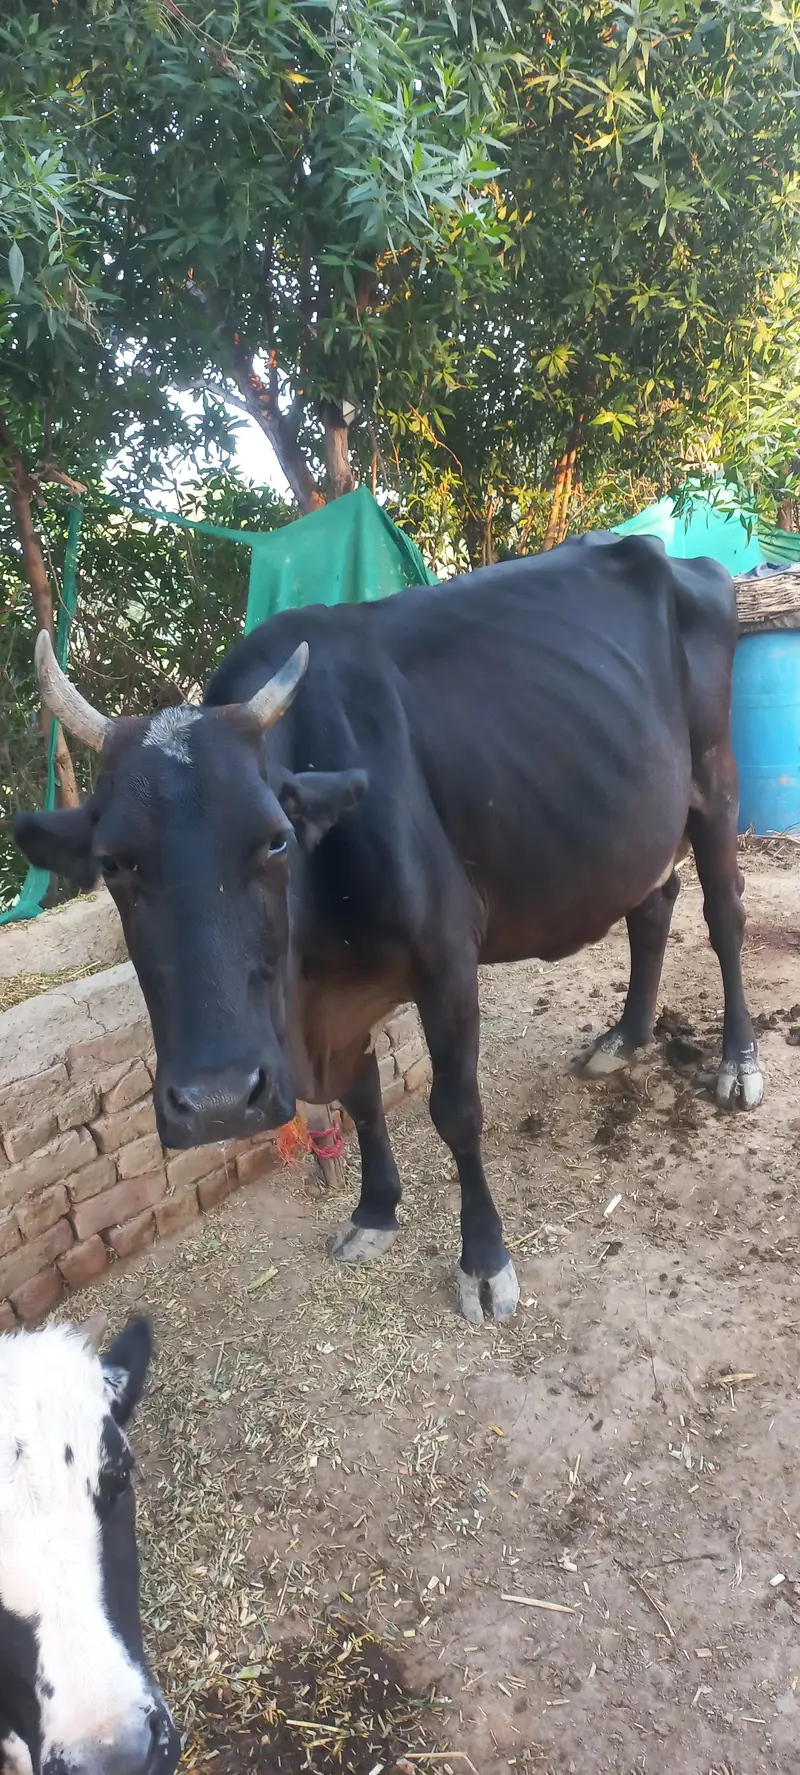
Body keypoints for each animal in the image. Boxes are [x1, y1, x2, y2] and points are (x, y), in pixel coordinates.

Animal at [13, 531, 762, 1324]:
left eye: (275, 839)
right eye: (113, 862)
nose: (217, 1102)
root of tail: (666, 554)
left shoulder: (446, 961)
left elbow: (456, 1110)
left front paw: (484, 1261)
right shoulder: (339, 997)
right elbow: (362, 1097)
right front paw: (375, 1211)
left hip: (715, 783)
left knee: (724, 916)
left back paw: (738, 1064)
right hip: (635, 826)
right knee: (652, 904)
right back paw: (625, 1038)